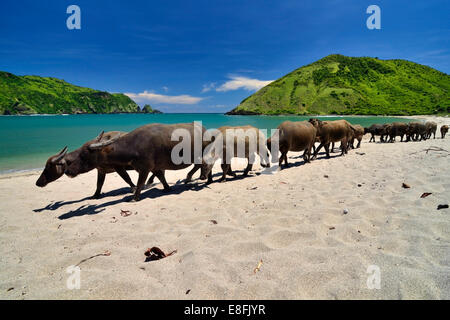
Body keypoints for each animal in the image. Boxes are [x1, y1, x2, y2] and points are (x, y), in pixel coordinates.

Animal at [64, 123, 209, 201]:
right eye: (79, 152)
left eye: (84, 155)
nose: (67, 171)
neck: (133, 146)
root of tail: (204, 129)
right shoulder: (153, 167)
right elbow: (160, 177)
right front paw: (167, 188)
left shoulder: (143, 168)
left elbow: (137, 182)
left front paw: (134, 197)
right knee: (199, 165)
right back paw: (193, 178)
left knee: (203, 165)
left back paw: (197, 178)